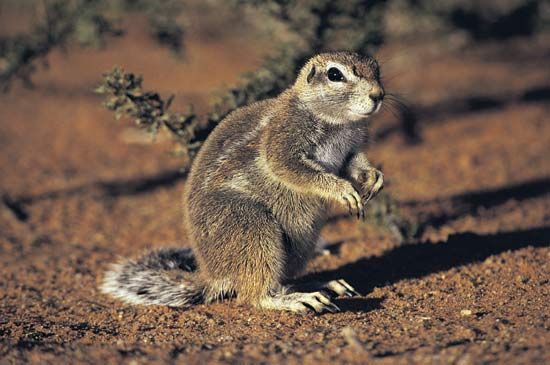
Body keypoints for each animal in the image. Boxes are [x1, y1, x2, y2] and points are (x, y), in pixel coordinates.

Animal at [102, 51, 388, 312]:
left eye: (377, 67)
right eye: (335, 75)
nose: (378, 95)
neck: (337, 121)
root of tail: (214, 276)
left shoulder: (349, 149)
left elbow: (354, 163)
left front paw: (373, 177)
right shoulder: (283, 139)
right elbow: (292, 168)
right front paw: (343, 190)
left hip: (300, 245)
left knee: (282, 281)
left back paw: (323, 285)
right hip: (252, 227)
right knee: (255, 295)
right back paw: (298, 300)